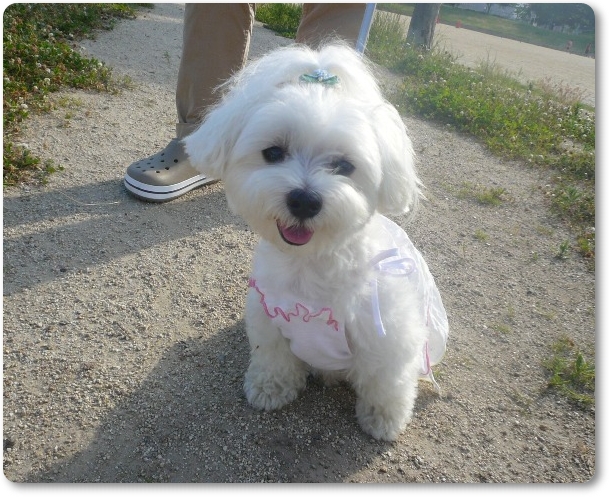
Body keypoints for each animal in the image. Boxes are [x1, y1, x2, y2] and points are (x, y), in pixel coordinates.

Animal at [184, 43, 448, 441]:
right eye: (273, 153)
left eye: (344, 166)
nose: (304, 200)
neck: (312, 263)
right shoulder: (270, 319)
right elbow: (273, 358)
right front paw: (270, 389)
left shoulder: (389, 336)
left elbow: (386, 382)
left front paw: (384, 419)